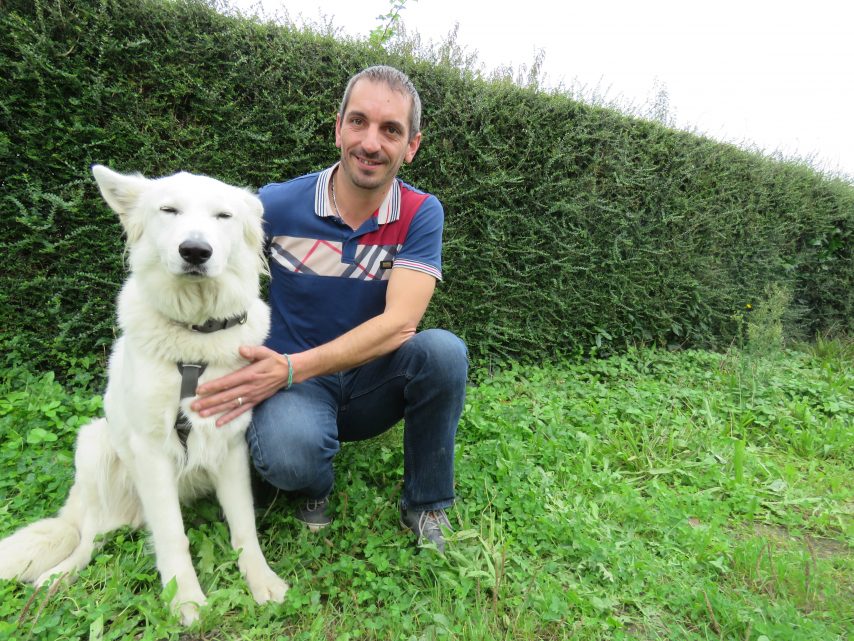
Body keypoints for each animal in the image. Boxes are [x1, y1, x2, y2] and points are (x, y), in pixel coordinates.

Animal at [0, 165, 290, 624]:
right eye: (168, 210)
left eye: (223, 216)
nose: (195, 251)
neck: (194, 338)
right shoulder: (152, 451)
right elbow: (172, 536)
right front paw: (185, 599)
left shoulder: (229, 442)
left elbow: (244, 524)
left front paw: (261, 581)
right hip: (95, 443)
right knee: (90, 536)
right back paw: (58, 577)